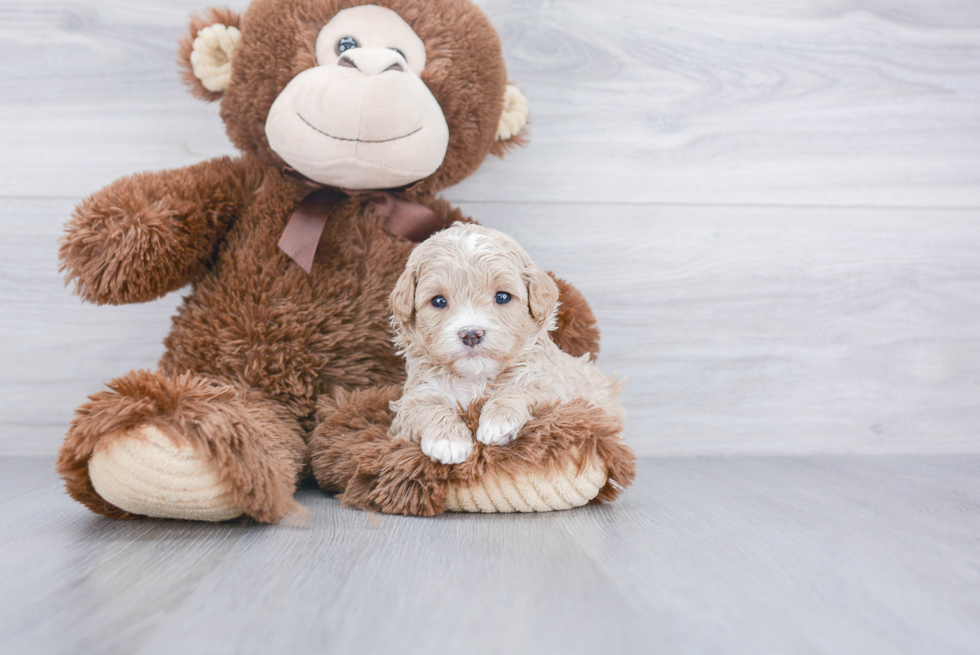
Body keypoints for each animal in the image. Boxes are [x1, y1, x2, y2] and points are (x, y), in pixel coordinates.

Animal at [386, 224, 624, 466]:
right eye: (438, 301)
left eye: (502, 297)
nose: (471, 334)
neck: (477, 379)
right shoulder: (412, 400)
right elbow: (425, 409)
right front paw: (448, 441)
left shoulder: (554, 392)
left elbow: (521, 391)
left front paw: (497, 421)